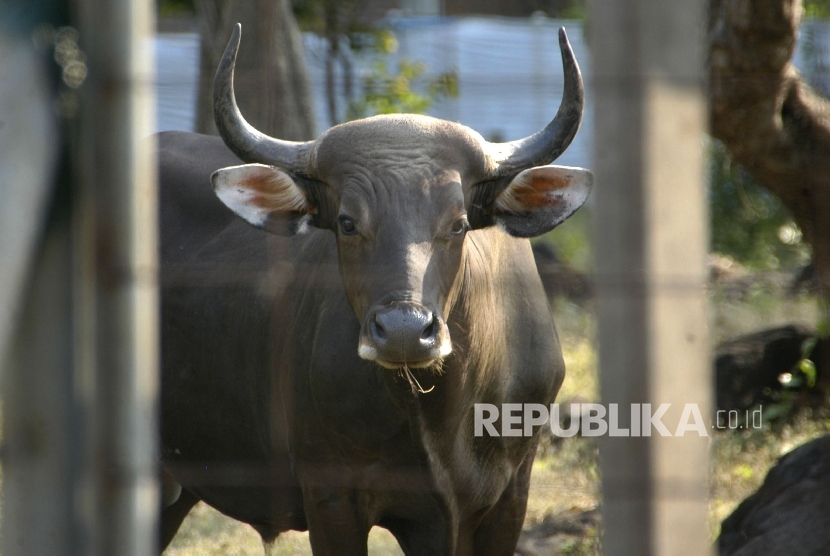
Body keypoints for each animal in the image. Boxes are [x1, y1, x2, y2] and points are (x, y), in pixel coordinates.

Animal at [159, 23, 592, 552]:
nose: (405, 331)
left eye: (459, 223)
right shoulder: (332, 496)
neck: (439, 419)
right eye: (347, 222)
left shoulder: (510, 496)